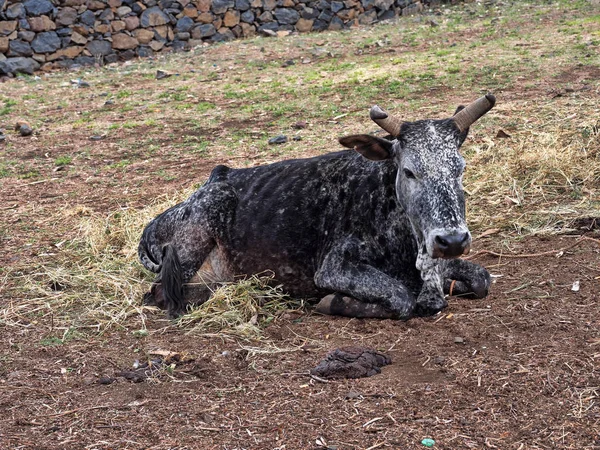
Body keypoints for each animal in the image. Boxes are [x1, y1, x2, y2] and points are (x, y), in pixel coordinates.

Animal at [138, 94, 494, 320]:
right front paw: (333, 302)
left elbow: (481, 279)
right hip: (191, 248)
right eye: (408, 171)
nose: (452, 240)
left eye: (459, 168)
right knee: (161, 294)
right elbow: (402, 298)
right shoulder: (334, 267)